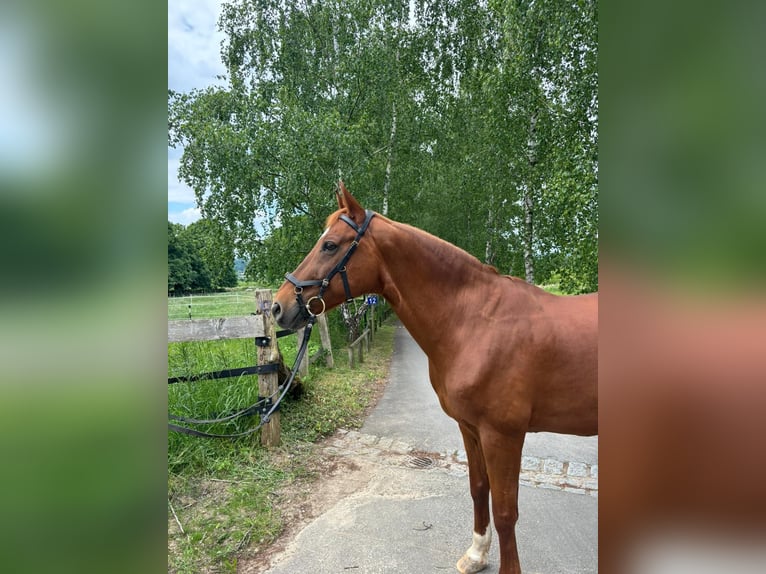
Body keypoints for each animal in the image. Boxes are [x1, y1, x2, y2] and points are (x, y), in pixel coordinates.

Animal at [272, 184, 600, 574]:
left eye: (331, 245)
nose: (277, 306)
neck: (476, 323)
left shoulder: (503, 435)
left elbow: (506, 512)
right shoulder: (470, 428)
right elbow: (478, 489)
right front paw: (475, 555)